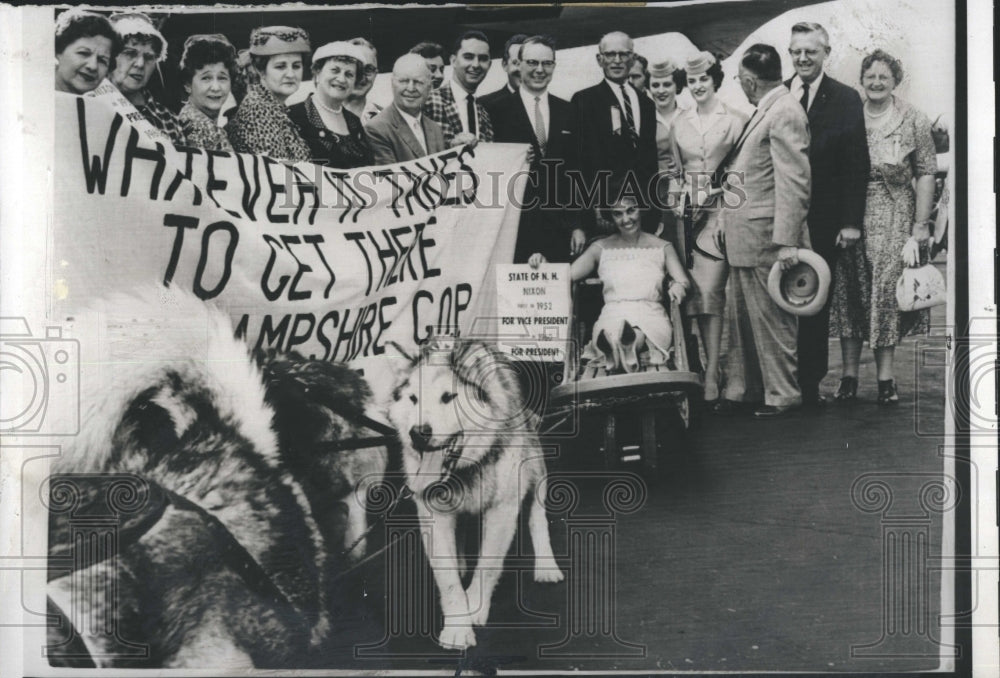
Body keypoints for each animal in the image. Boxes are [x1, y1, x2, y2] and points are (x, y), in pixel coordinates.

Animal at [386, 340, 564, 652]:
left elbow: (487, 566)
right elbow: (448, 579)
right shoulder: (433, 516)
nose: (418, 433)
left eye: (448, 397)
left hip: (534, 472)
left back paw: (546, 566)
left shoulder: (502, 511)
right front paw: (457, 627)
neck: (464, 470)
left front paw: (475, 609)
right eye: (413, 399)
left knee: (537, 518)